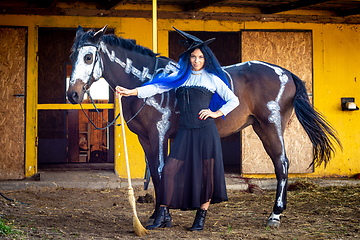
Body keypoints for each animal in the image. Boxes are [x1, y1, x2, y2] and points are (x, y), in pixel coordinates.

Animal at [67, 25, 340, 228]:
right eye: (72, 57)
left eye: (88, 57)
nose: (72, 94)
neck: (147, 81)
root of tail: (286, 73)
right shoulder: (146, 138)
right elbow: (154, 173)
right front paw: (157, 215)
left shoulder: (159, 134)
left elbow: (160, 170)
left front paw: (163, 218)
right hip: (262, 128)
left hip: (271, 127)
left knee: (281, 164)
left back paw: (275, 215)